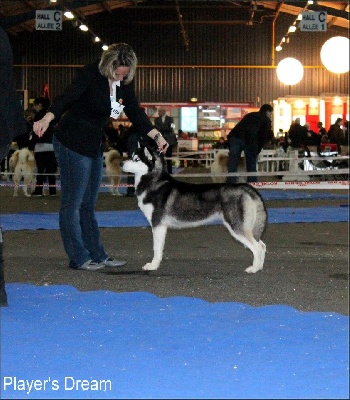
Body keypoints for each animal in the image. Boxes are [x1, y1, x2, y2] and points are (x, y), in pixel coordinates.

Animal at [123, 145, 268, 274]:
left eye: (136, 159)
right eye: (131, 156)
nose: (122, 163)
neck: (153, 181)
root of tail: (245, 187)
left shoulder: (157, 224)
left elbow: (156, 248)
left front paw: (153, 265)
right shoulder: (161, 226)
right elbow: (160, 247)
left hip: (237, 227)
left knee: (257, 248)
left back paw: (254, 269)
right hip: (246, 226)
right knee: (262, 245)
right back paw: (260, 267)